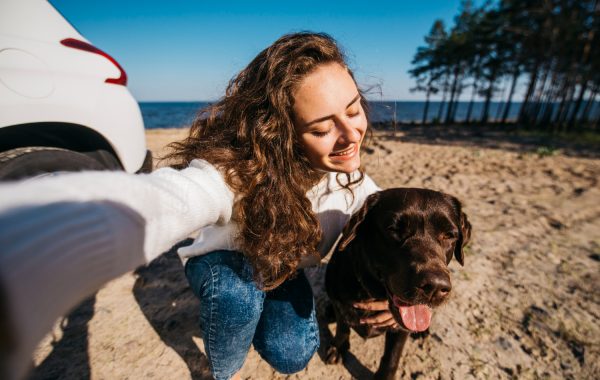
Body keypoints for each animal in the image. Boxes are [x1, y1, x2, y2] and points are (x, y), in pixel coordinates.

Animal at [326, 188, 472, 380]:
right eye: (394, 229)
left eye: (449, 235)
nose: (434, 287)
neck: (372, 294)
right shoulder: (340, 303)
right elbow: (343, 327)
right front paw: (338, 348)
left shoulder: (400, 330)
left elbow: (391, 357)